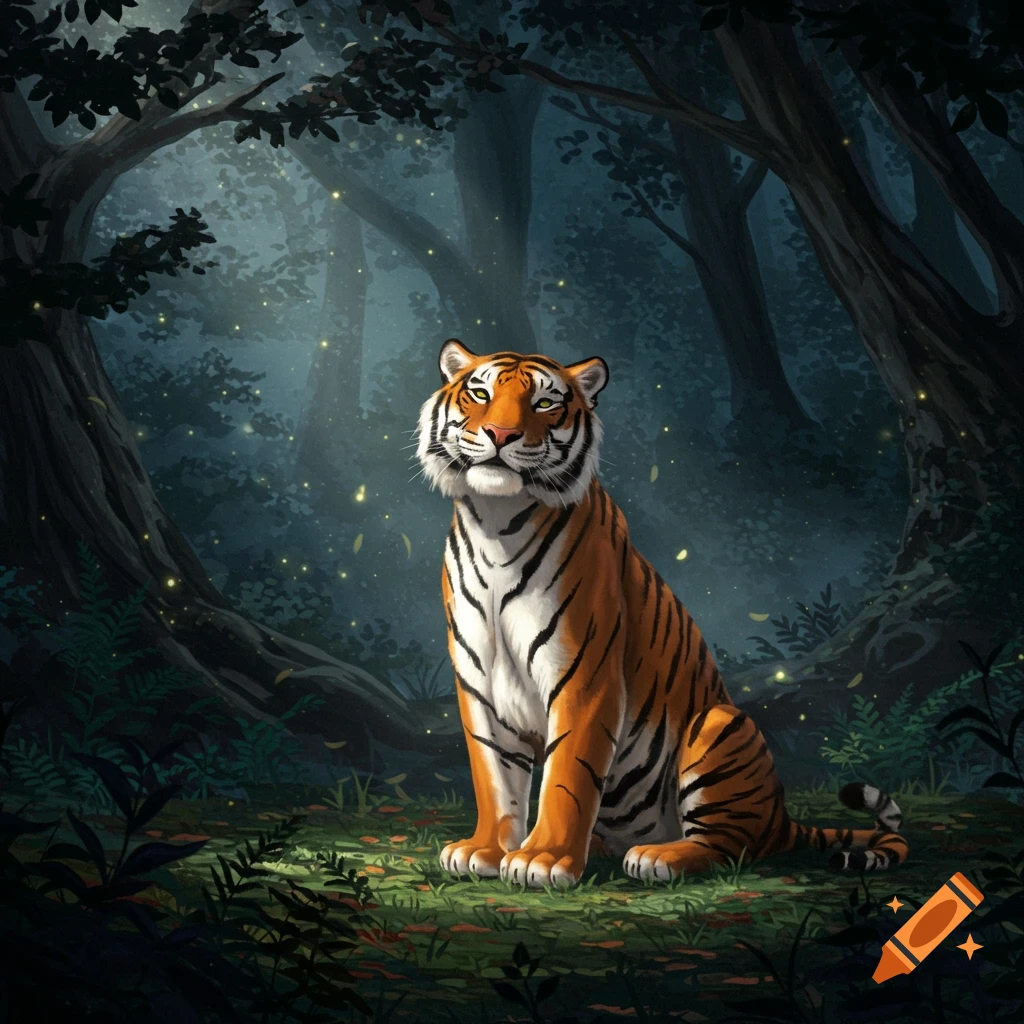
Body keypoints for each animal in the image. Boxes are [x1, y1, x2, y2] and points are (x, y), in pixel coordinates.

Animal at [415, 339, 908, 888]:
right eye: (480, 394)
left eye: (544, 403)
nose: (501, 435)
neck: (496, 521)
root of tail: (781, 818)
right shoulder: (480, 680)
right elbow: (493, 773)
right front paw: (484, 850)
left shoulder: (584, 676)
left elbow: (565, 776)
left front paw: (542, 859)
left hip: (718, 724)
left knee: (727, 847)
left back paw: (659, 857)